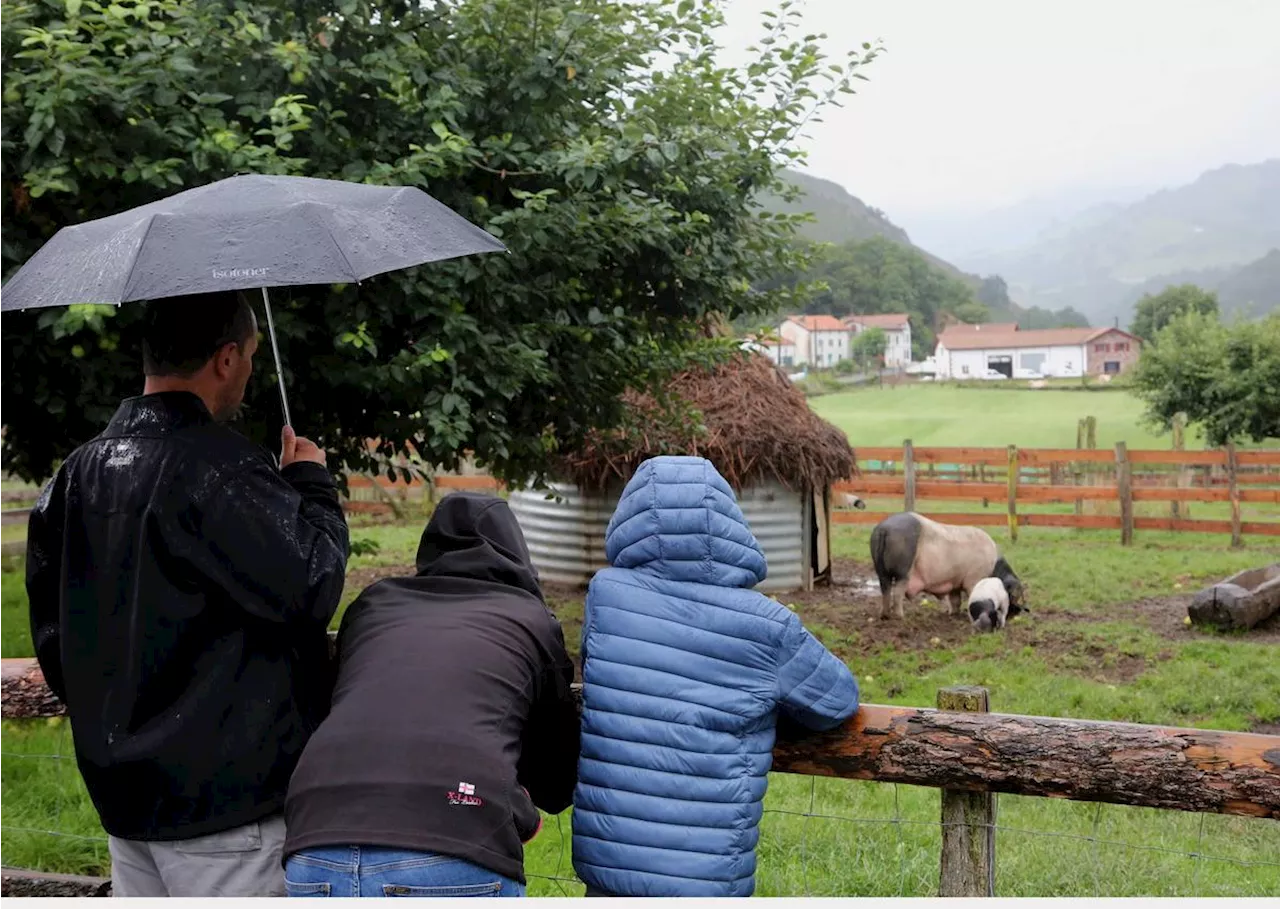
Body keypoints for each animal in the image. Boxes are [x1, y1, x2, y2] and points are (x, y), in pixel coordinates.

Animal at [865, 512, 1024, 627]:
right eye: (1013, 595)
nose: (1015, 615)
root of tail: (883, 529)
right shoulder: (974, 578)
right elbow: (970, 595)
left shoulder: (955, 582)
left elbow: (955, 600)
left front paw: (952, 614)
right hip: (903, 571)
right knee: (898, 592)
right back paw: (900, 617)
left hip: (881, 571)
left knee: (885, 590)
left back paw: (885, 616)